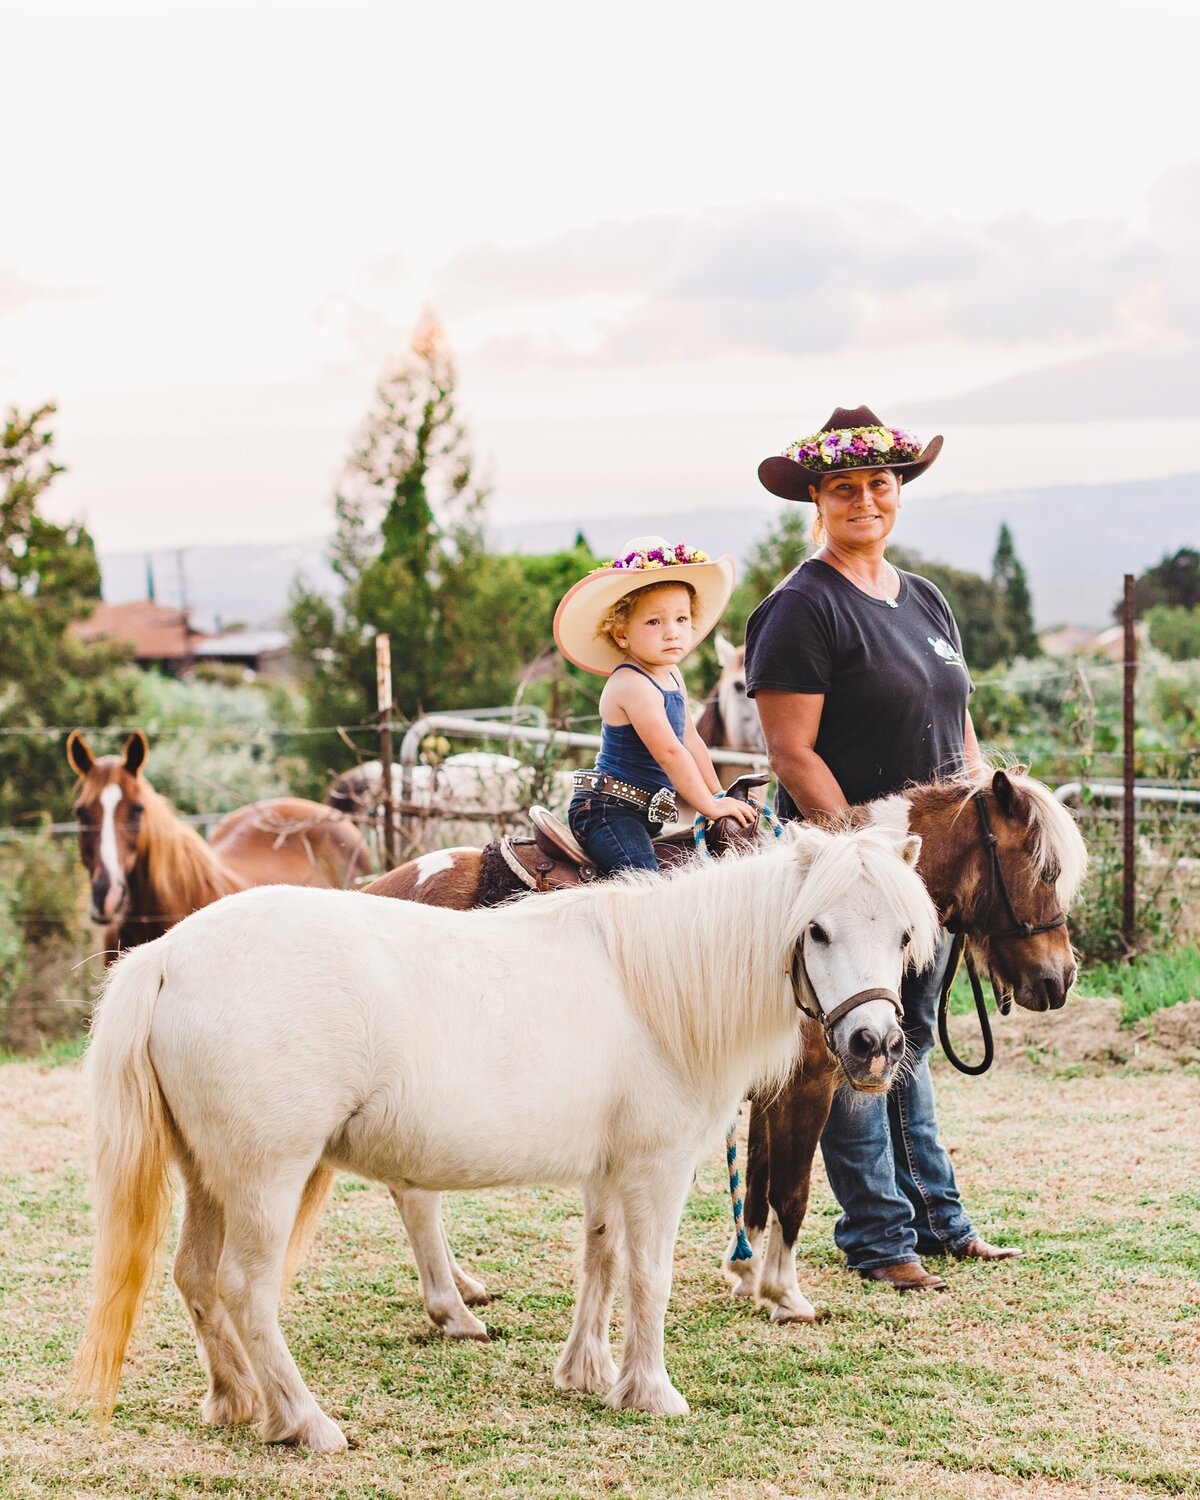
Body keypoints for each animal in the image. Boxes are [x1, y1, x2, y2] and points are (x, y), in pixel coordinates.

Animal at [72, 822, 936, 1452]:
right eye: (816, 930)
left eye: (902, 935)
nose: (874, 1046)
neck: (656, 984)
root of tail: (167, 956)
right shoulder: (656, 1169)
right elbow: (648, 1275)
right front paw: (652, 1390)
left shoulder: (608, 1168)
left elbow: (601, 1259)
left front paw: (587, 1373)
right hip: (265, 1180)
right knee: (245, 1290)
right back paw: (307, 1421)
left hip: (209, 1178)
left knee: (193, 1278)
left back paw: (236, 1399)